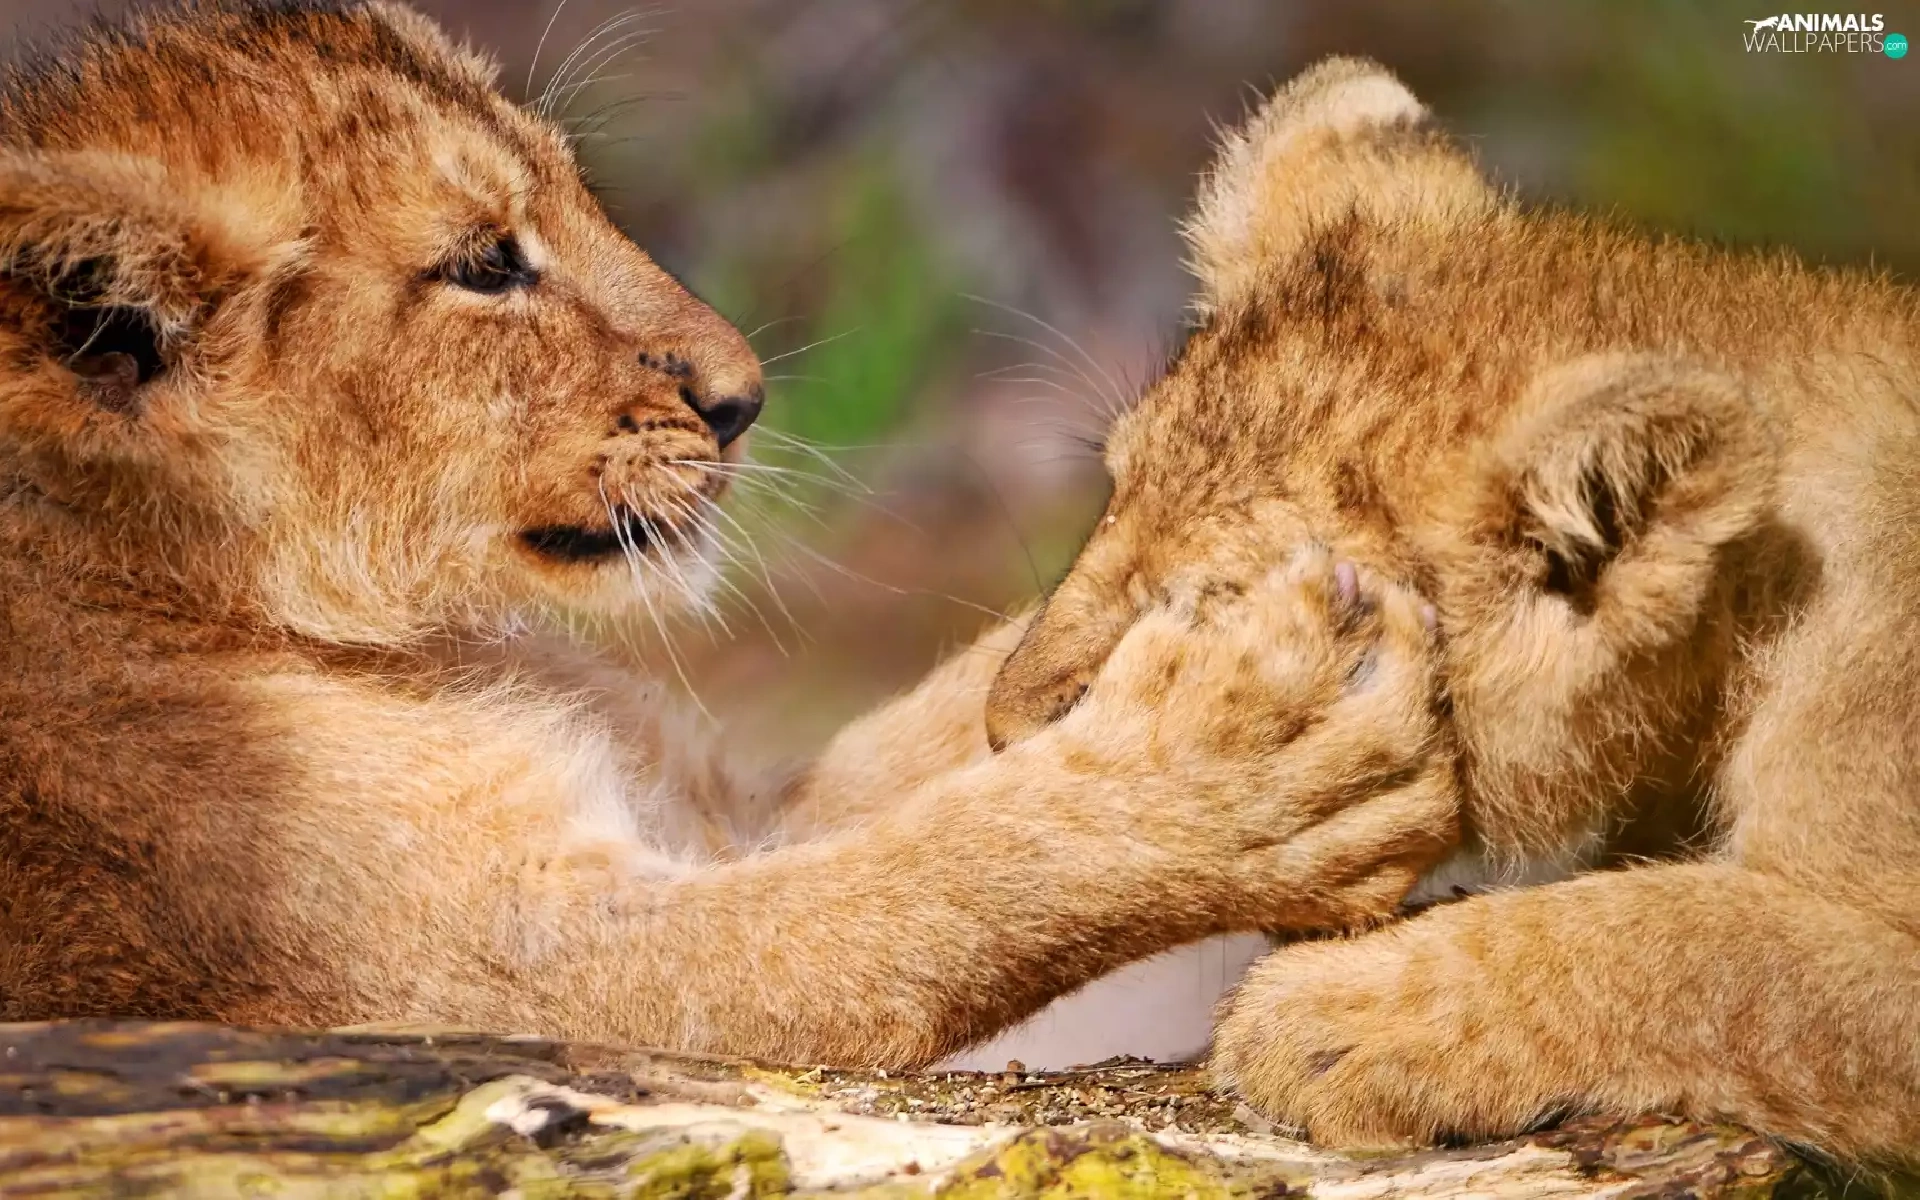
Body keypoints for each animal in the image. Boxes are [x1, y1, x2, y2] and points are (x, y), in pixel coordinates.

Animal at [0, 2, 1461, 1070]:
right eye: (485, 266)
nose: (742, 397)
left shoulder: (701, 810)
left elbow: (938, 743)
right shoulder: (475, 986)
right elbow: (908, 889)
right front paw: (1260, 760)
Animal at [984, 58, 1920, 1162]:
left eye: (1223, 612)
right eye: (1116, 491)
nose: (998, 731)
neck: (1755, 614)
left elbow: (1707, 955)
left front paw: (1330, 1017)